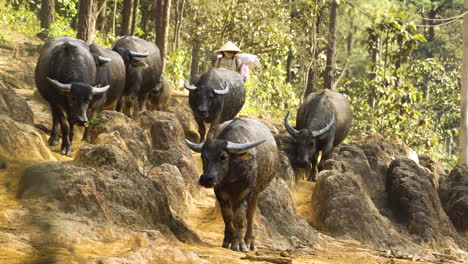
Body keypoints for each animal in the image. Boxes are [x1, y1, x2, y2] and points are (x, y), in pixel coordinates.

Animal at [186, 118, 278, 252]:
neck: (230, 176)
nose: (206, 179)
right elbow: (228, 217)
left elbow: (239, 218)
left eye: (223, 156)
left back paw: (249, 242)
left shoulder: (244, 192)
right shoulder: (220, 193)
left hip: (256, 192)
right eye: (204, 156)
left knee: (250, 214)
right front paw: (227, 241)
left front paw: (239, 244)